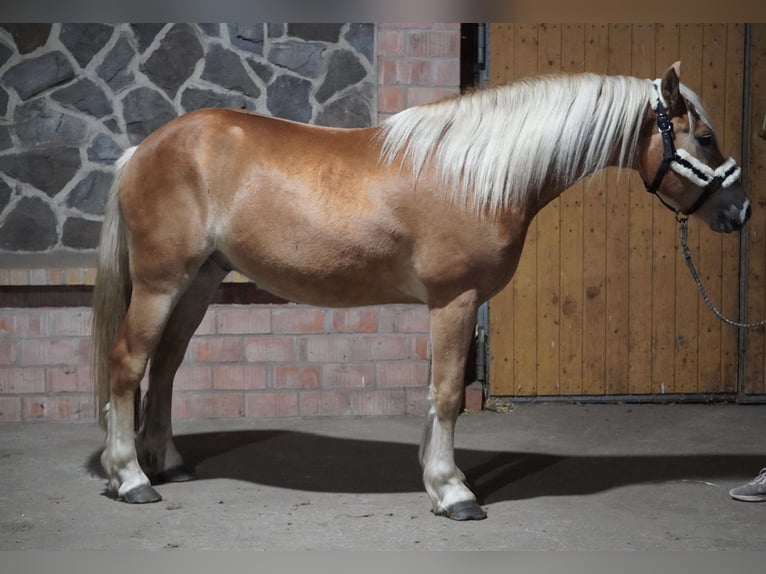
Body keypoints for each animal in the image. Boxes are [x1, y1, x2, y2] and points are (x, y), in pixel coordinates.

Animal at [92, 62, 750, 521]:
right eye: (705, 137)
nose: (740, 211)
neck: (475, 173)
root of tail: (140, 150)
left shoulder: (449, 305)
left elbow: (438, 393)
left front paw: (436, 477)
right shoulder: (455, 300)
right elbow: (451, 394)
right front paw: (455, 492)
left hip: (199, 281)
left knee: (166, 365)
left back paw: (168, 463)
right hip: (160, 282)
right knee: (128, 363)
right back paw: (131, 479)